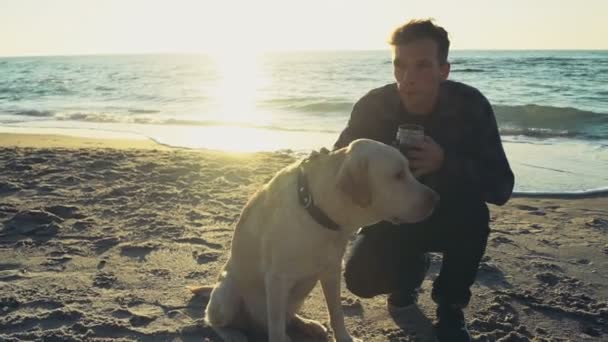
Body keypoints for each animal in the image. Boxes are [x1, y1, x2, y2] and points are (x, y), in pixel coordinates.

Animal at [189, 138, 436, 340]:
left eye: (408, 170)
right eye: (398, 175)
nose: (436, 198)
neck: (316, 209)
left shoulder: (331, 272)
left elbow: (336, 313)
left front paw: (344, 338)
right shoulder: (277, 280)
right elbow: (276, 328)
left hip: (298, 294)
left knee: (286, 318)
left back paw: (308, 324)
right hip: (227, 295)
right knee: (216, 322)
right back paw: (235, 335)